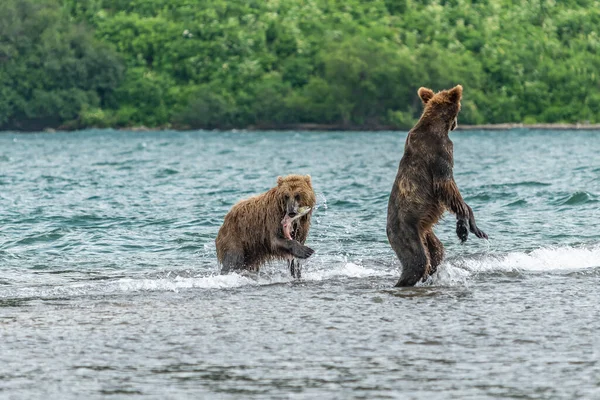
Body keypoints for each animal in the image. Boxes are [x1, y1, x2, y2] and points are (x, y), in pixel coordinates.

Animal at [386, 84, 490, 286]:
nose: (456, 124)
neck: (438, 125)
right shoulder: (440, 153)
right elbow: (447, 186)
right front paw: (468, 225)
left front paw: (467, 227)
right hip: (406, 231)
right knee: (417, 261)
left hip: (425, 232)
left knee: (437, 252)